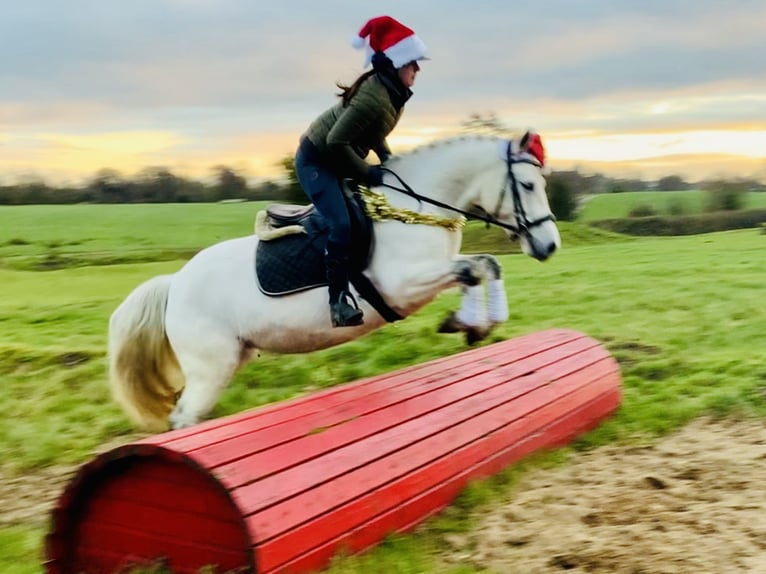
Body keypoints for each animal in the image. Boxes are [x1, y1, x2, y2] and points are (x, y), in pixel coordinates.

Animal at [108, 134, 560, 432]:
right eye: (527, 185)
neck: (414, 209)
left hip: (230, 359)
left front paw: (470, 325)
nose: (549, 245)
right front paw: (473, 323)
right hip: (209, 369)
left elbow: (484, 267)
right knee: (184, 418)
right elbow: (473, 269)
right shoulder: (404, 284)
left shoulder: (436, 270)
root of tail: (174, 285)